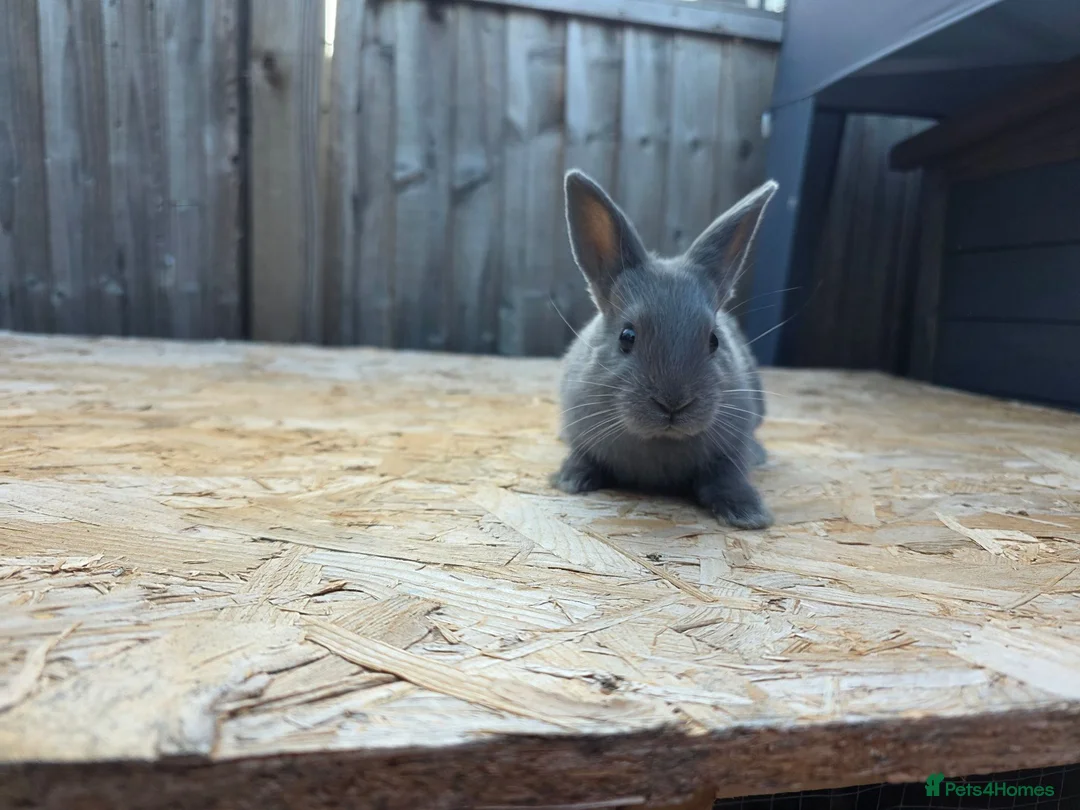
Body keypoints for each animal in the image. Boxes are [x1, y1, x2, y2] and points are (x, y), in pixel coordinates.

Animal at [551, 169, 778, 530]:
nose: (673, 404)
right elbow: (583, 458)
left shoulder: (728, 453)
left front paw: (749, 514)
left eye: (714, 340)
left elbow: (727, 478)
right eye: (626, 336)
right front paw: (570, 479)